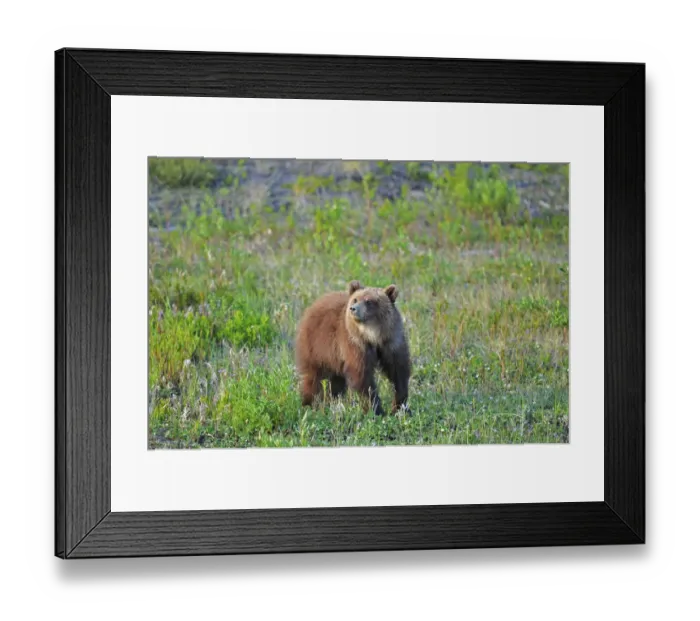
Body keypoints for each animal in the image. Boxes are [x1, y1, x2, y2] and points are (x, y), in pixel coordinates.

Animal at [295, 280, 411, 416]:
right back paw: (310, 404)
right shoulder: (355, 344)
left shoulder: (391, 342)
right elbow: (362, 376)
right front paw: (376, 409)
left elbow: (398, 370)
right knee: (314, 378)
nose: (353, 308)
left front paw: (400, 406)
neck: (373, 336)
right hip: (317, 347)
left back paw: (332, 400)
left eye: (369, 301)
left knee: (336, 382)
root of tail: (312, 305)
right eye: (355, 299)